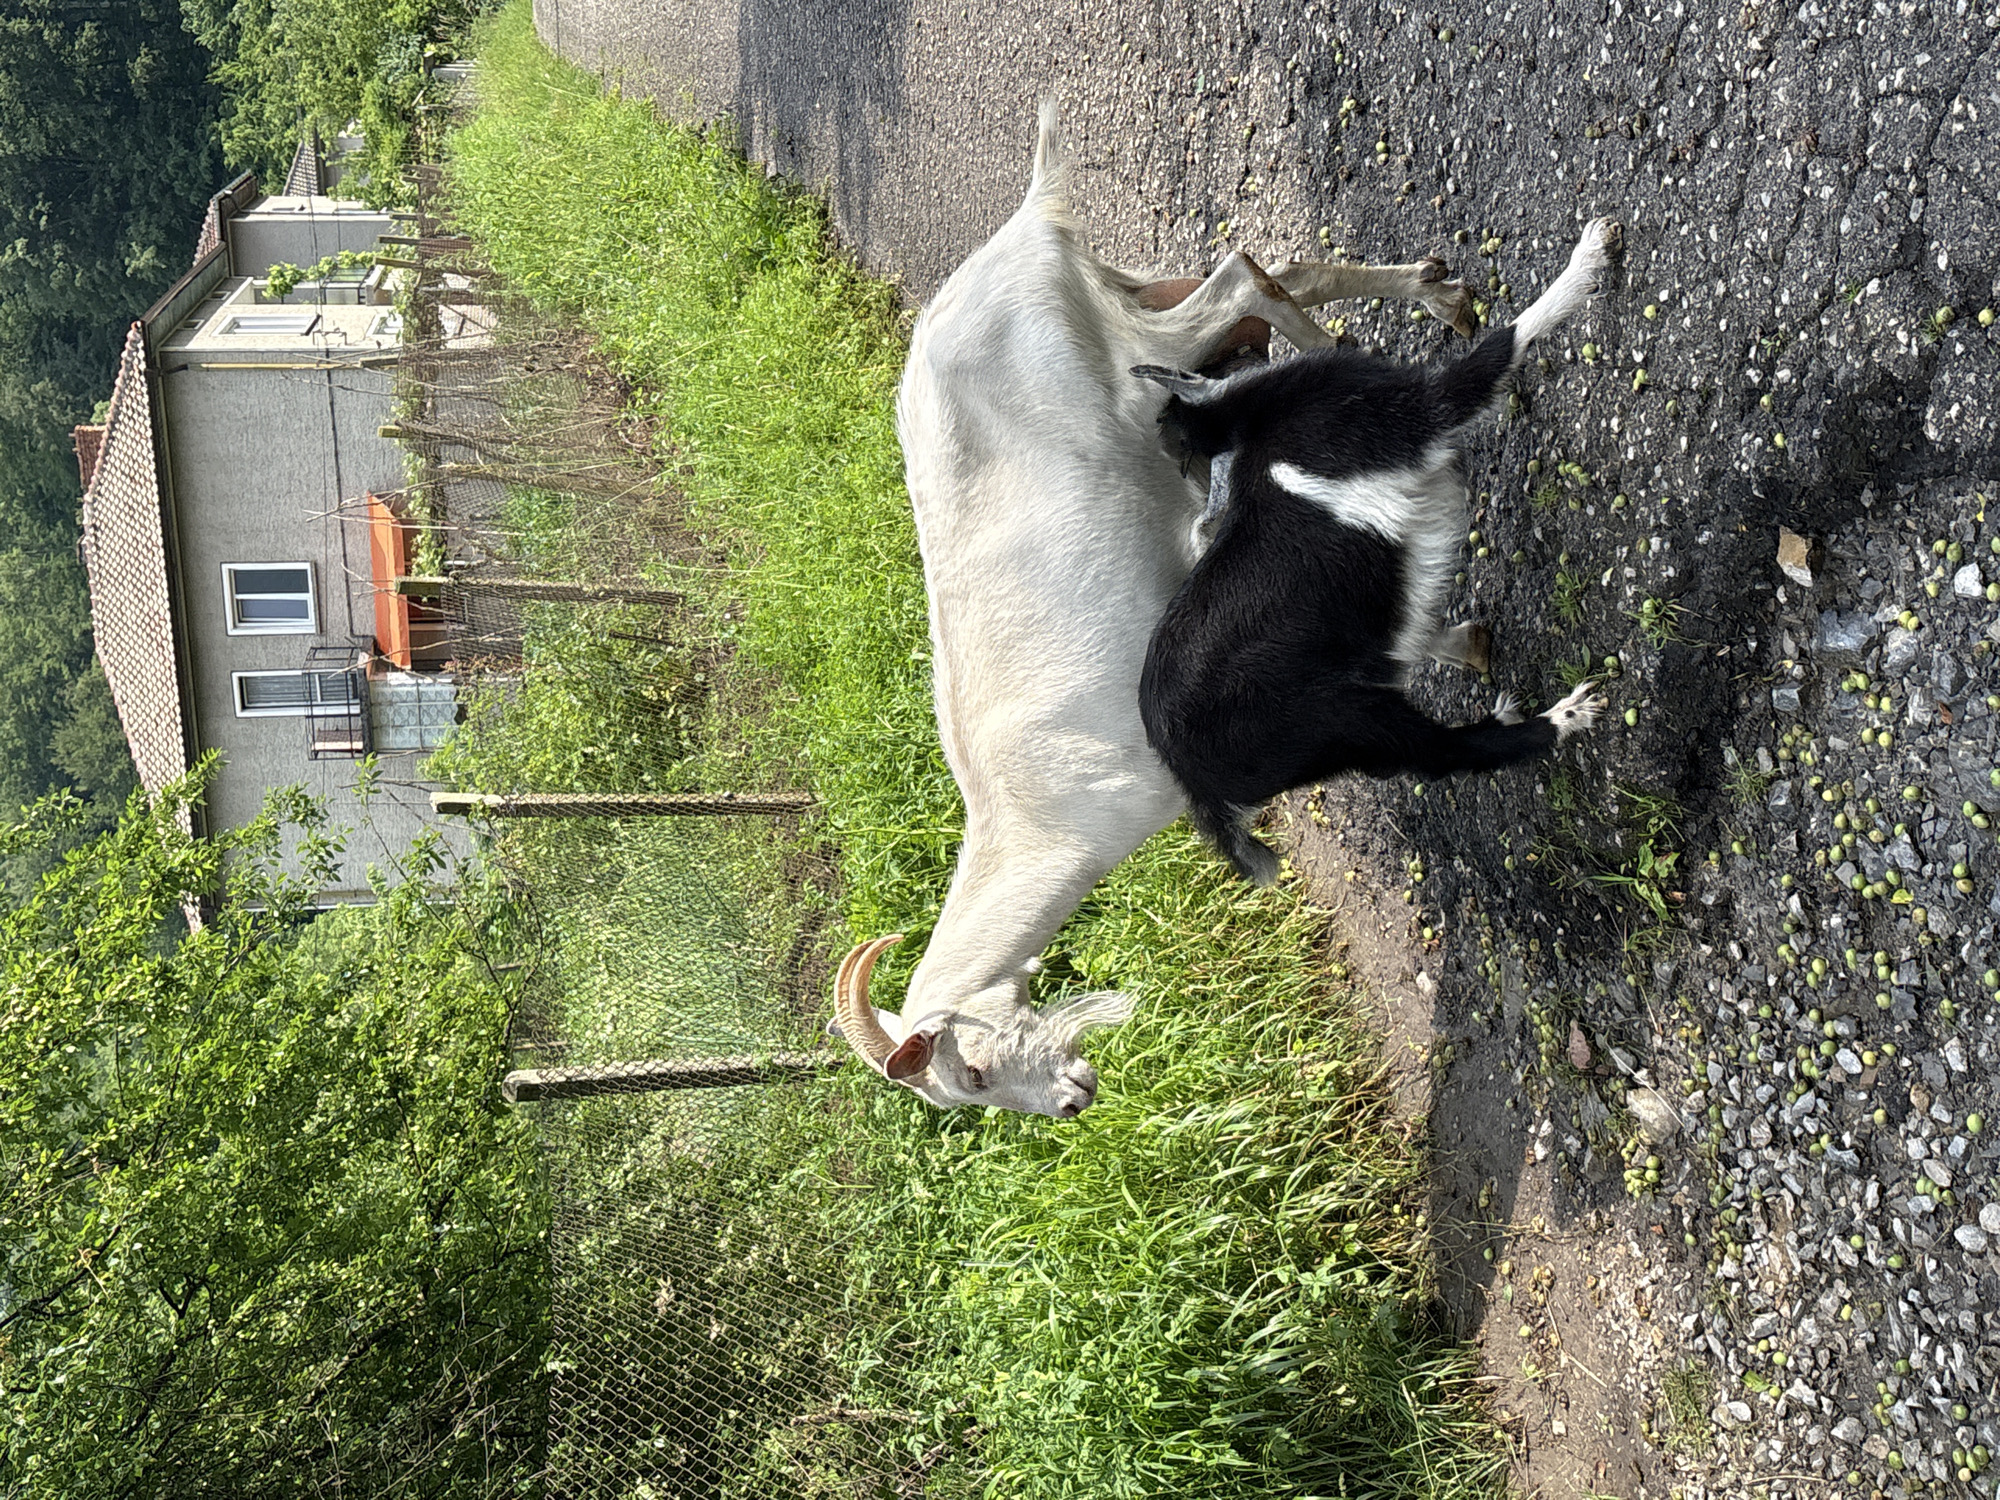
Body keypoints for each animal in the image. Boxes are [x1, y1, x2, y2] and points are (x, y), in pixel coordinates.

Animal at [832, 102, 1477, 1117]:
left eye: (970, 1072)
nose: (1073, 1100)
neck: (1040, 815)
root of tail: (1020, 226)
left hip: (1126, 352)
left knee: (1238, 280)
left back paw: (1336, 345)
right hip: (1119, 294)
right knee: (1264, 275)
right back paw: (1435, 299)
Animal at [1132, 218, 1622, 885]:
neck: (1254, 423)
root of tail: (1191, 777)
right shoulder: (1425, 410)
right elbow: (1510, 338)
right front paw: (1589, 258)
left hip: (1347, 726)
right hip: (1351, 719)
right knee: (1449, 754)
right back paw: (1566, 717)